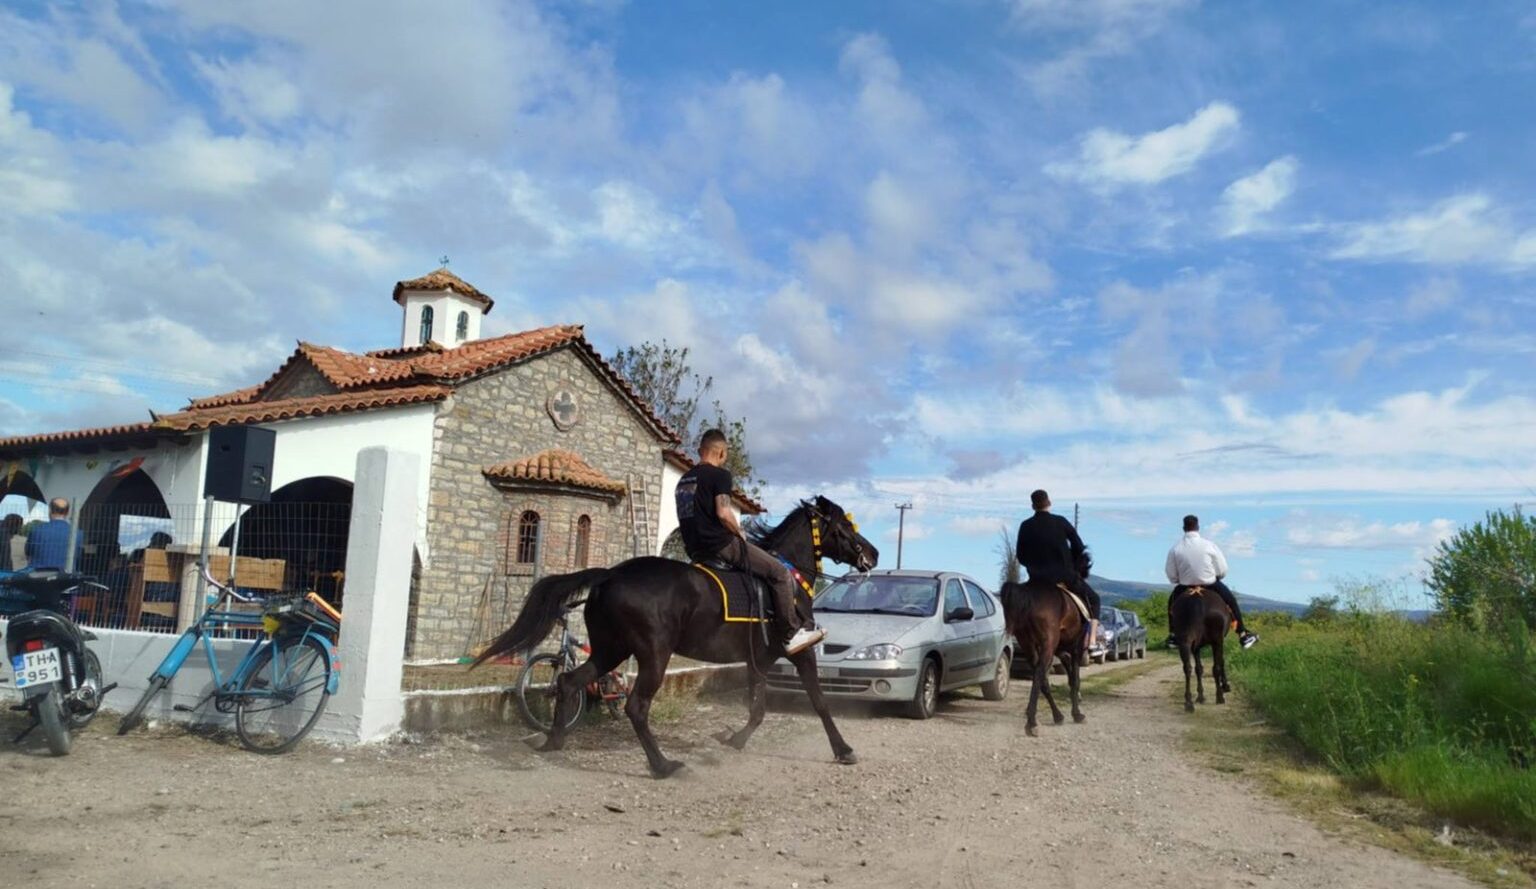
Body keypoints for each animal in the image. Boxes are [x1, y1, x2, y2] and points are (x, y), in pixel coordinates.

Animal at [473, 496, 878, 778]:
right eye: (844, 527)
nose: (872, 554)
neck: (788, 577)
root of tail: (610, 575)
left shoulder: (758, 659)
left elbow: (757, 707)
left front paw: (736, 740)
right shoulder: (798, 651)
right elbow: (819, 702)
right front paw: (843, 749)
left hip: (610, 649)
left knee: (570, 681)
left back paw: (554, 742)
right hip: (653, 654)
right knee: (636, 706)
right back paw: (662, 766)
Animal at [1000, 551, 1097, 737]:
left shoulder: (1060, 651)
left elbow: (1069, 675)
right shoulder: (1076, 648)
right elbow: (1075, 679)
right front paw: (1077, 714)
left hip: (1029, 645)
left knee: (1042, 678)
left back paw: (1056, 716)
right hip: (1047, 646)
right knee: (1039, 675)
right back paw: (1032, 723)